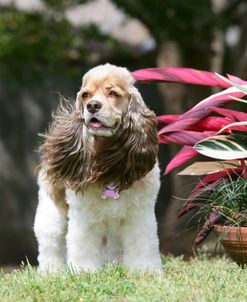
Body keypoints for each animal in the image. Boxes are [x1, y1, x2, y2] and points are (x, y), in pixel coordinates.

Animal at [34, 63, 162, 272]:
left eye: (113, 93)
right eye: (86, 95)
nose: (92, 105)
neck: (108, 161)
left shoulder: (140, 215)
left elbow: (143, 246)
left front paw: (146, 271)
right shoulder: (83, 217)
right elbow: (82, 247)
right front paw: (83, 272)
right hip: (51, 212)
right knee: (50, 244)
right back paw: (51, 271)